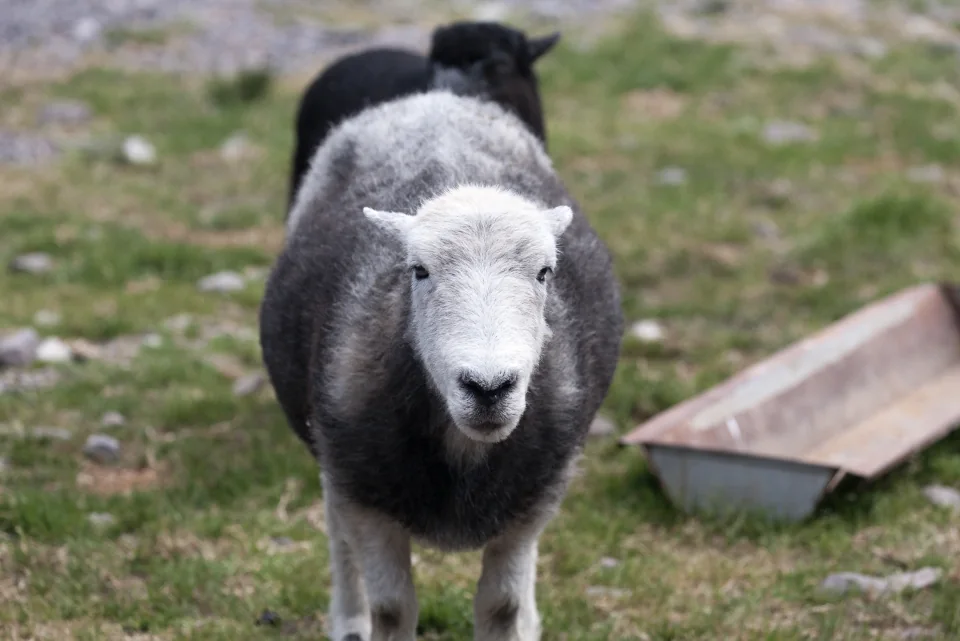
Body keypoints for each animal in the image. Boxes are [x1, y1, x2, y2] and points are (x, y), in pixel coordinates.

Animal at [260, 89, 623, 641]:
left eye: (545, 272)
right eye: (419, 271)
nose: (488, 388)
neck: (463, 445)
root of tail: (432, 97)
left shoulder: (533, 500)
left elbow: (501, 606)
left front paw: (517, 620)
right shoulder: (363, 496)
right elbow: (391, 608)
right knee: (337, 535)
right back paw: (348, 619)